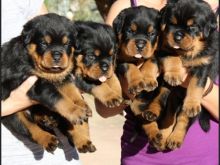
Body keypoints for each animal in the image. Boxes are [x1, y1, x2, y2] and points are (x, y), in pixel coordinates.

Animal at [1, 13, 93, 153]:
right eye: (44, 43)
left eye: (66, 44)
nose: (57, 55)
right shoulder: (34, 83)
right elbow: (58, 98)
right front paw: (76, 111)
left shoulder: (62, 78)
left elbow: (72, 90)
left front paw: (83, 105)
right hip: (13, 114)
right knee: (29, 127)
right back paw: (47, 138)